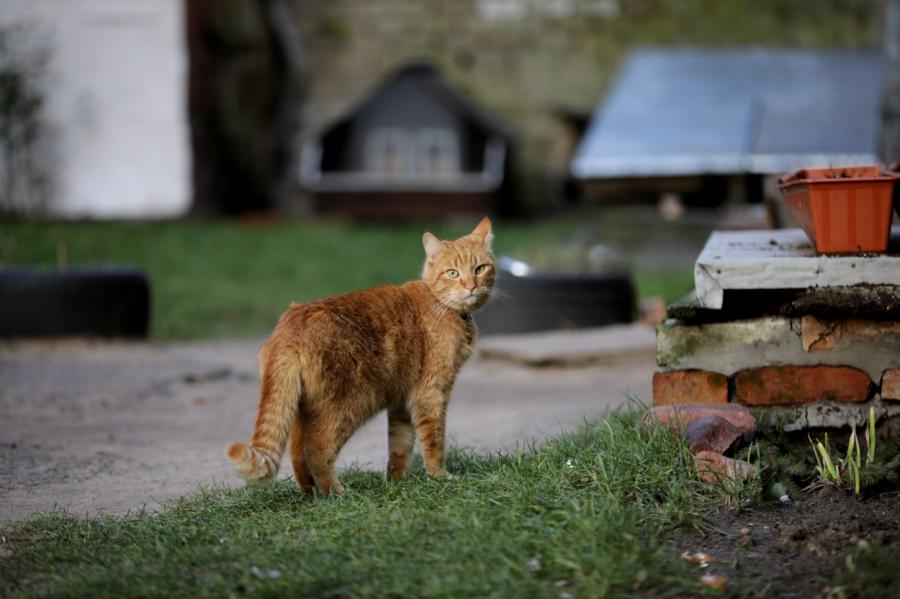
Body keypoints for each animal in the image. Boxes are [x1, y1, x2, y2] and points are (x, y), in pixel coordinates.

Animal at [225, 218, 492, 494]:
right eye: (452, 273)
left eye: (480, 268)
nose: (471, 286)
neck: (442, 305)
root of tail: (290, 327)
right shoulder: (430, 394)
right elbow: (434, 442)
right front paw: (439, 477)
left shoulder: (401, 400)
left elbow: (400, 446)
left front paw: (397, 483)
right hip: (349, 405)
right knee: (316, 448)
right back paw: (335, 493)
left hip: (303, 406)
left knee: (297, 450)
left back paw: (311, 493)